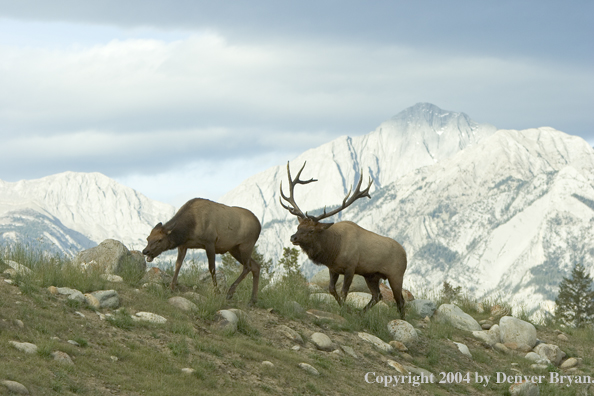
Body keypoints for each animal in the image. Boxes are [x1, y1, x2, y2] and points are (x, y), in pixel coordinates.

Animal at [280, 162, 404, 318]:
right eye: (298, 226)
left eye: (311, 230)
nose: (293, 237)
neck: (333, 250)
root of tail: (405, 253)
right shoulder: (333, 269)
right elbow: (332, 289)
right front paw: (347, 309)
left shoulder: (351, 267)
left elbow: (344, 291)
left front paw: (344, 310)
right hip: (372, 275)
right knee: (378, 295)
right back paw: (361, 313)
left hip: (396, 274)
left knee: (400, 301)